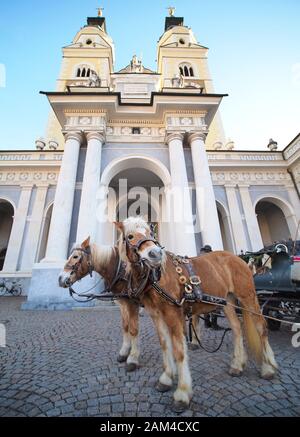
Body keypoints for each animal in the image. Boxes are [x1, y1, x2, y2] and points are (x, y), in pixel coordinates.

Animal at [116, 218, 276, 412]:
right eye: (130, 236)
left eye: (150, 232)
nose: (155, 254)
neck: (158, 277)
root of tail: (238, 258)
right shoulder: (157, 315)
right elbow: (165, 345)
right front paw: (166, 378)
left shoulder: (174, 314)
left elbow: (179, 351)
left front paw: (182, 393)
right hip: (227, 302)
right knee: (237, 329)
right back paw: (237, 365)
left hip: (248, 297)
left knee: (261, 328)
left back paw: (268, 368)